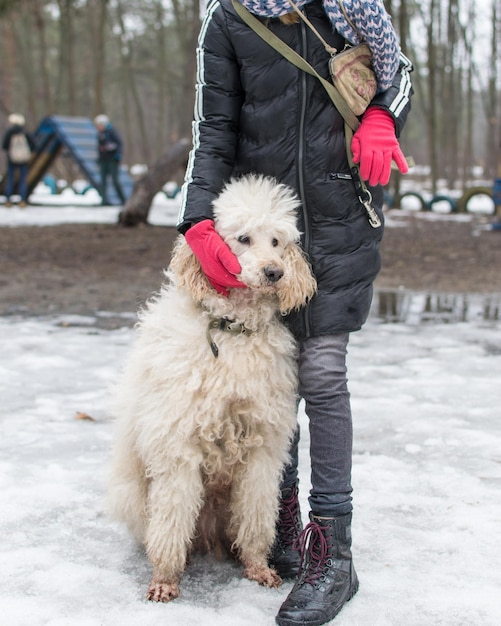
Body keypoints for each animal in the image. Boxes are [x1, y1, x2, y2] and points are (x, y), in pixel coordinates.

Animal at [107, 172, 316, 600]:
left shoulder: (261, 450)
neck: (232, 332)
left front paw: (258, 567)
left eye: (277, 241)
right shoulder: (178, 447)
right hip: (134, 494)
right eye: (243, 238)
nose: (275, 273)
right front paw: (165, 579)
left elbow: (256, 516)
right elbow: (172, 519)